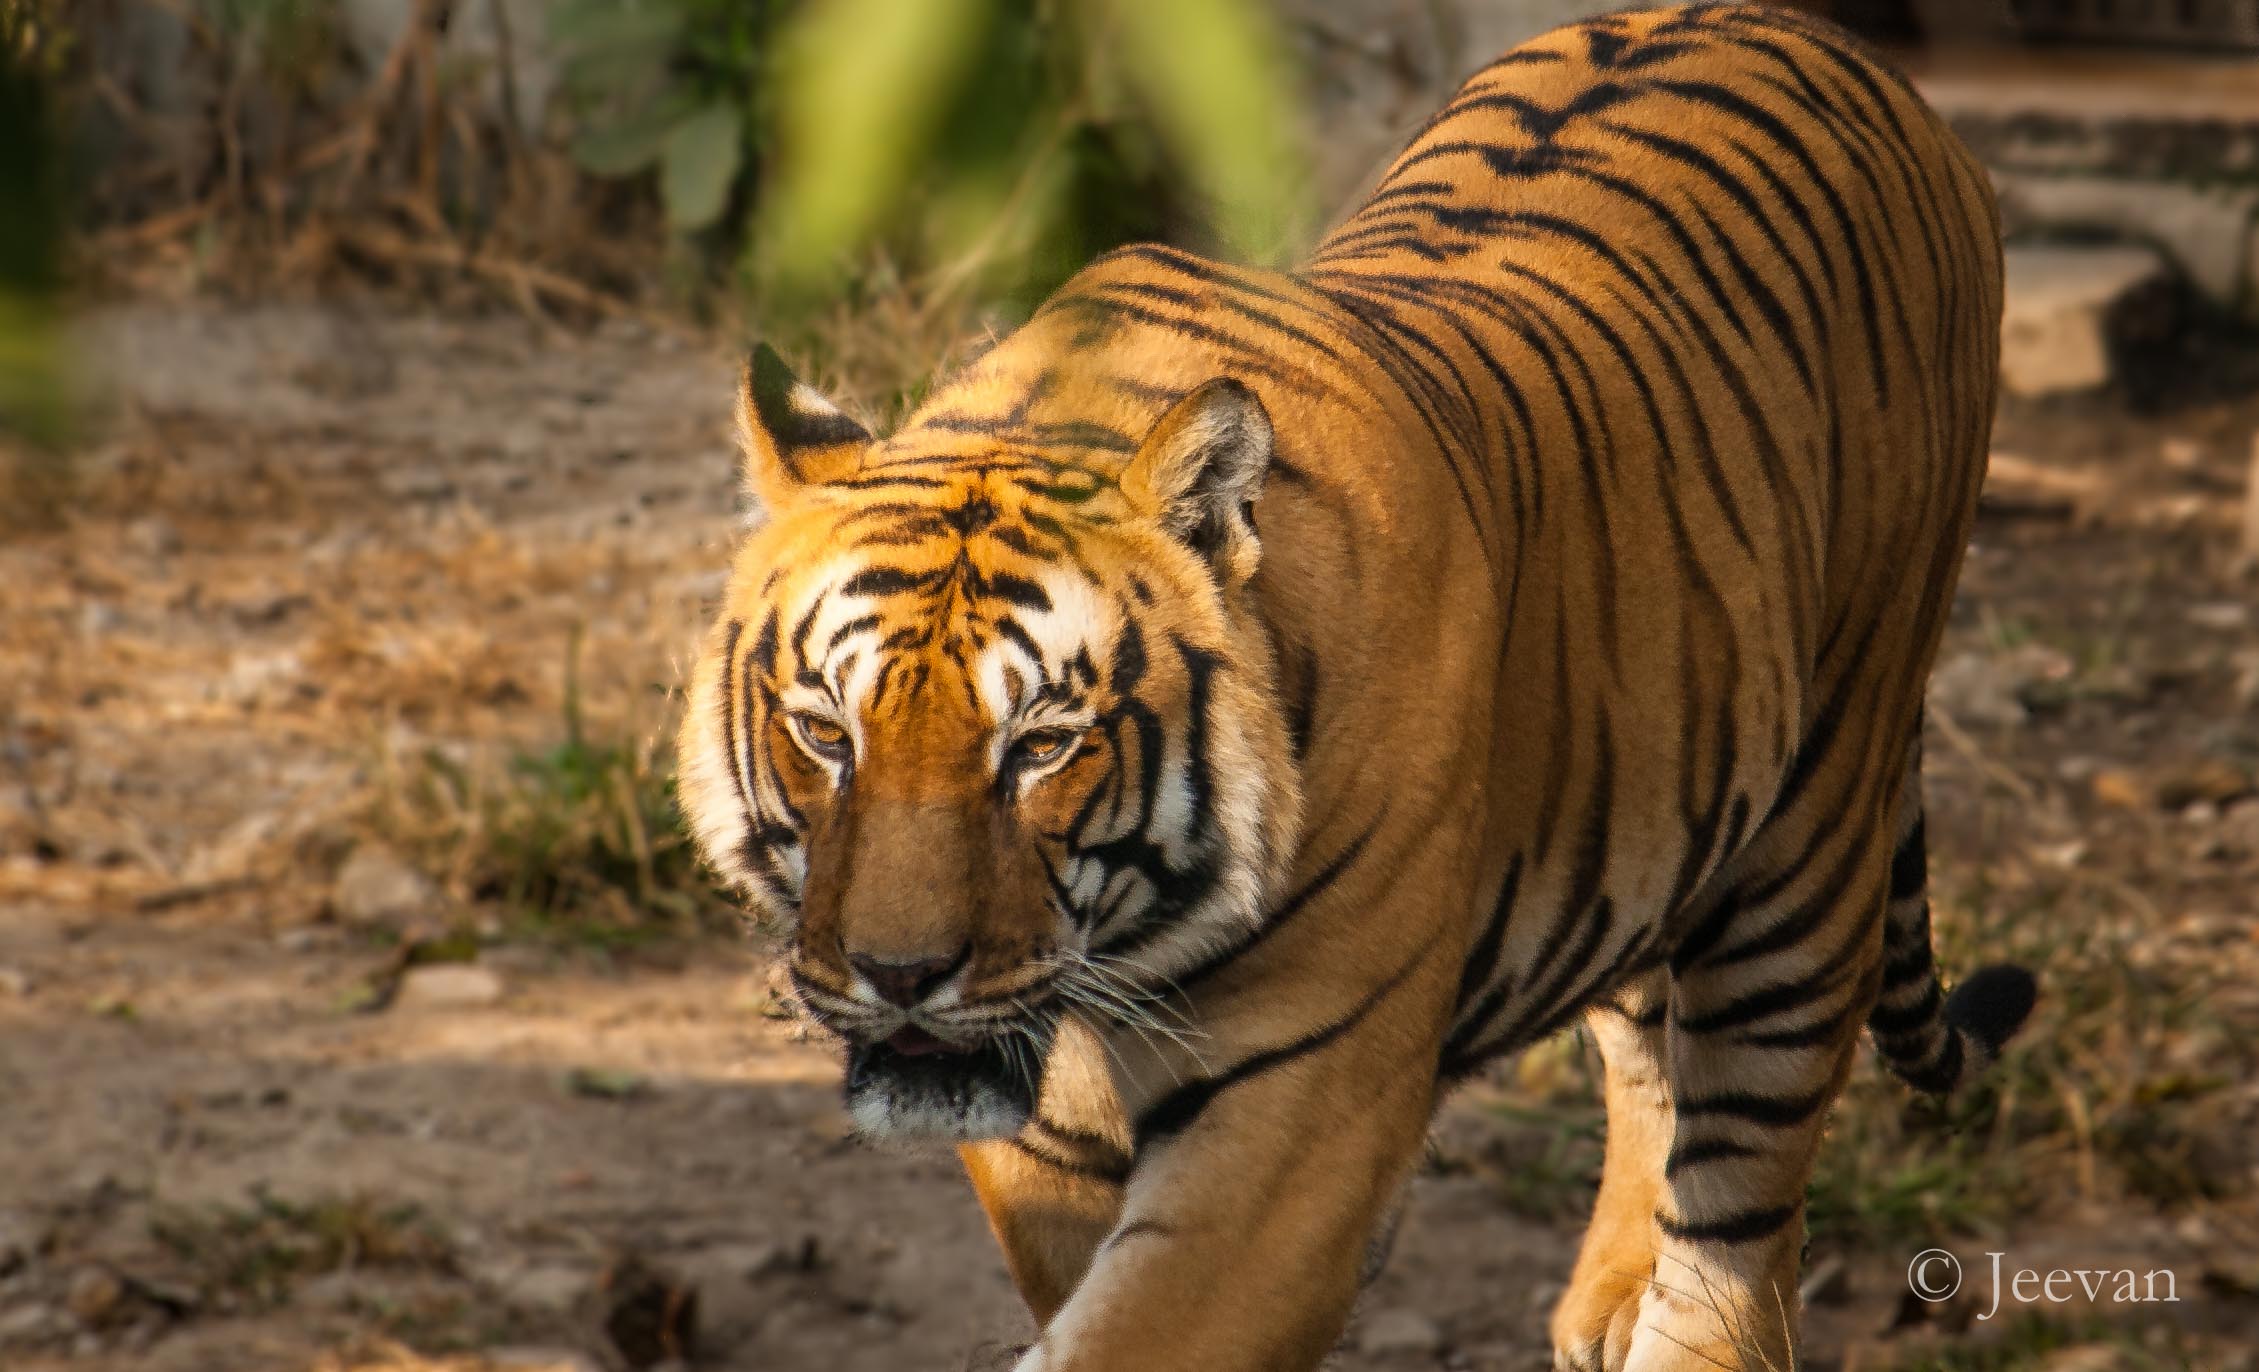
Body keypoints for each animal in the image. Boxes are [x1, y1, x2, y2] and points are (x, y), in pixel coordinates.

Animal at [675, 6, 2036, 1369]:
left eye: (1044, 746)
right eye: (825, 733)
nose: (899, 976)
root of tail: (1828, 42)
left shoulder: (1297, 1131)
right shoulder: (1046, 1139)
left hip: (1814, 840)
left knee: (1738, 1219)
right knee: (1652, 1038)